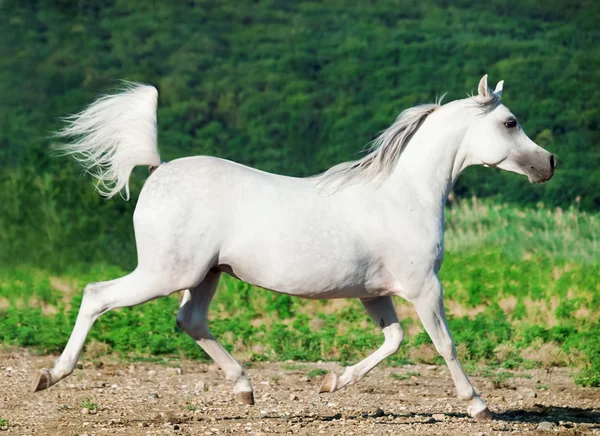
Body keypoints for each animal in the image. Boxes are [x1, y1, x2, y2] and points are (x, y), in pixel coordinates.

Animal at [34, 75, 556, 418]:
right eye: (510, 122)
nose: (549, 163)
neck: (406, 192)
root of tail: (159, 169)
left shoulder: (375, 293)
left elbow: (394, 340)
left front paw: (332, 383)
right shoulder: (424, 286)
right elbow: (444, 342)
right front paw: (479, 405)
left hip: (205, 276)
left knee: (190, 321)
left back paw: (245, 390)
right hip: (166, 273)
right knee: (97, 296)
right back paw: (51, 375)